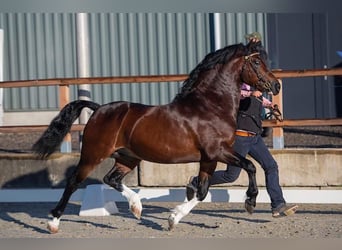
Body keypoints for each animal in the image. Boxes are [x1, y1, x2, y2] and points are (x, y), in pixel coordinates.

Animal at [32, 41, 280, 232]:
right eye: (256, 62)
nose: (276, 85)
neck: (210, 106)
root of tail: (99, 109)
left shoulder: (209, 158)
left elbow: (202, 191)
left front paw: (173, 219)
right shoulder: (218, 152)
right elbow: (250, 166)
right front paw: (250, 201)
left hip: (128, 157)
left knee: (111, 179)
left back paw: (136, 207)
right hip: (93, 155)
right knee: (74, 182)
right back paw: (53, 223)